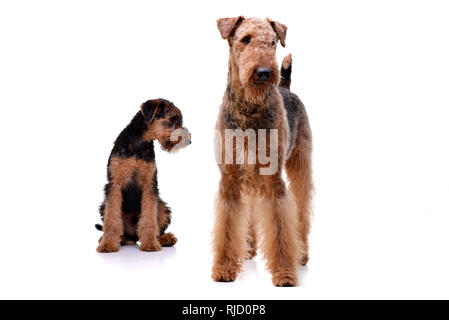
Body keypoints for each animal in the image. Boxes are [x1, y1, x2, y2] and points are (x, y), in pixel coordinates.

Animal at [96, 98, 189, 252]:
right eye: (172, 119)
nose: (189, 141)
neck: (139, 144)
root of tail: (133, 235)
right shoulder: (114, 184)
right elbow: (111, 220)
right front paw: (107, 244)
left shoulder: (149, 184)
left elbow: (149, 218)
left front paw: (150, 243)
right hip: (104, 206)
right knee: (118, 229)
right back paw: (112, 239)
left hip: (162, 207)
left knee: (157, 229)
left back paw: (164, 239)